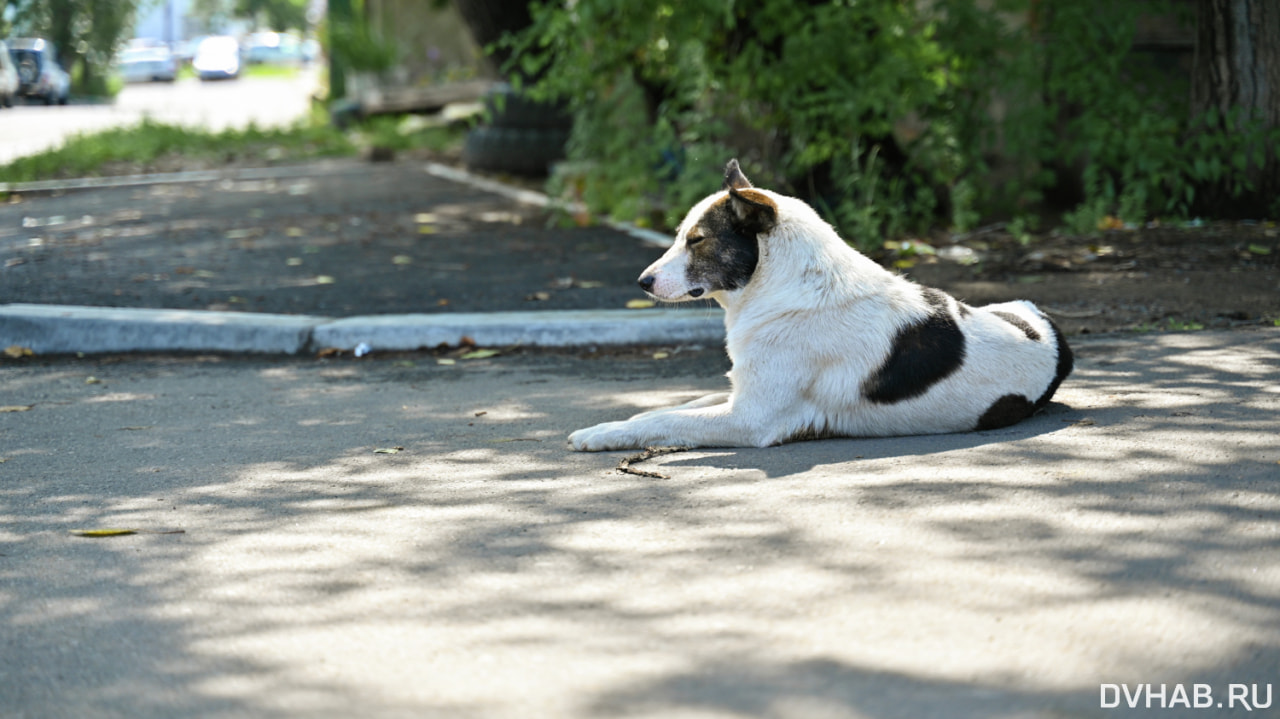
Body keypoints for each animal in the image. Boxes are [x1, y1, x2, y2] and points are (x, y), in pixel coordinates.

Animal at [570, 159, 1070, 450]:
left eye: (696, 240)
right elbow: (666, 408)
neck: (783, 286)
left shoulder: (749, 419)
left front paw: (601, 434)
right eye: (679, 236)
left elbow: (668, 419)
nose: (643, 282)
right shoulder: (739, 393)